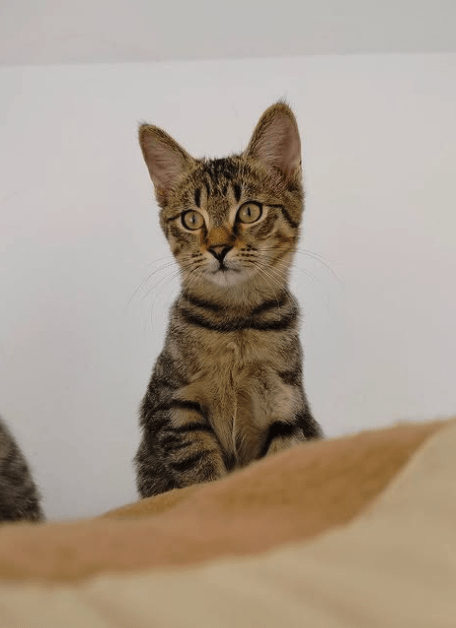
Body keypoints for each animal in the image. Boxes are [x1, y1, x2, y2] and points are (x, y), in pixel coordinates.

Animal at [134, 100, 322, 498]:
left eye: (249, 211)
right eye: (192, 219)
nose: (219, 248)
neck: (236, 322)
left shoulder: (286, 408)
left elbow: (279, 466)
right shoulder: (174, 407)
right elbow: (200, 473)